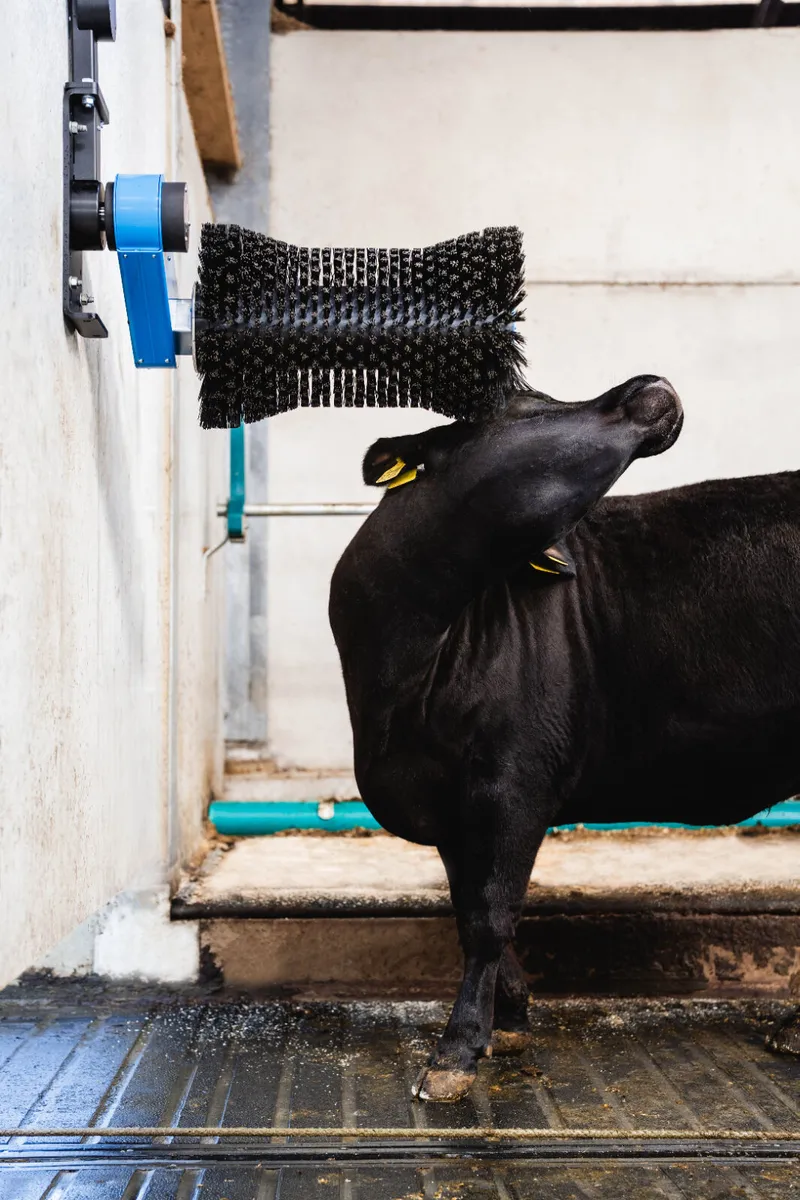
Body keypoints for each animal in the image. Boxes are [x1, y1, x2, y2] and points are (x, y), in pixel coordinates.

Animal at [329, 375, 800, 1102]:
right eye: (521, 404)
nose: (647, 384)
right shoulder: (450, 804)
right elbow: (467, 906)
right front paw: (510, 1021)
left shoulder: (515, 780)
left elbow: (489, 918)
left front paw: (456, 1053)